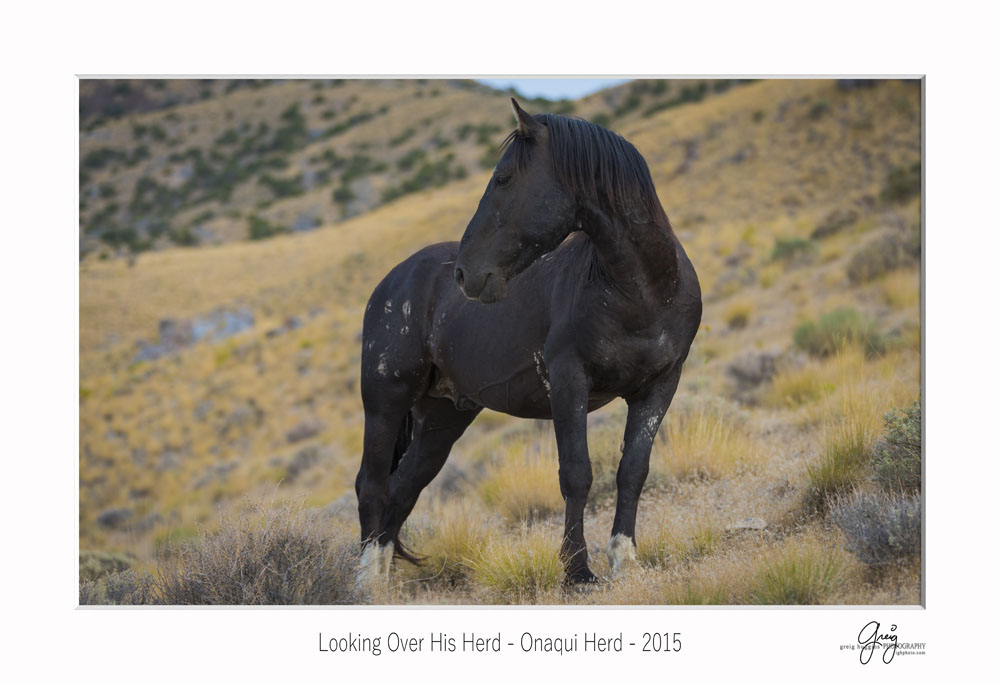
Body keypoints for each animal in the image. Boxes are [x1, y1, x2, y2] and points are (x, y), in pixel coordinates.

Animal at [356, 99, 700, 584]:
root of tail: (393, 280)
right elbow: (576, 473)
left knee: (404, 487)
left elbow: (633, 470)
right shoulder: (569, 380)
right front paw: (577, 570)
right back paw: (367, 582)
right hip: (385, 400)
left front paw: (624, 560)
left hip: (442, 416)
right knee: (372, 485)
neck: (644, 291)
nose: (465, 273)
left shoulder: (660, 386)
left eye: (503, 178)